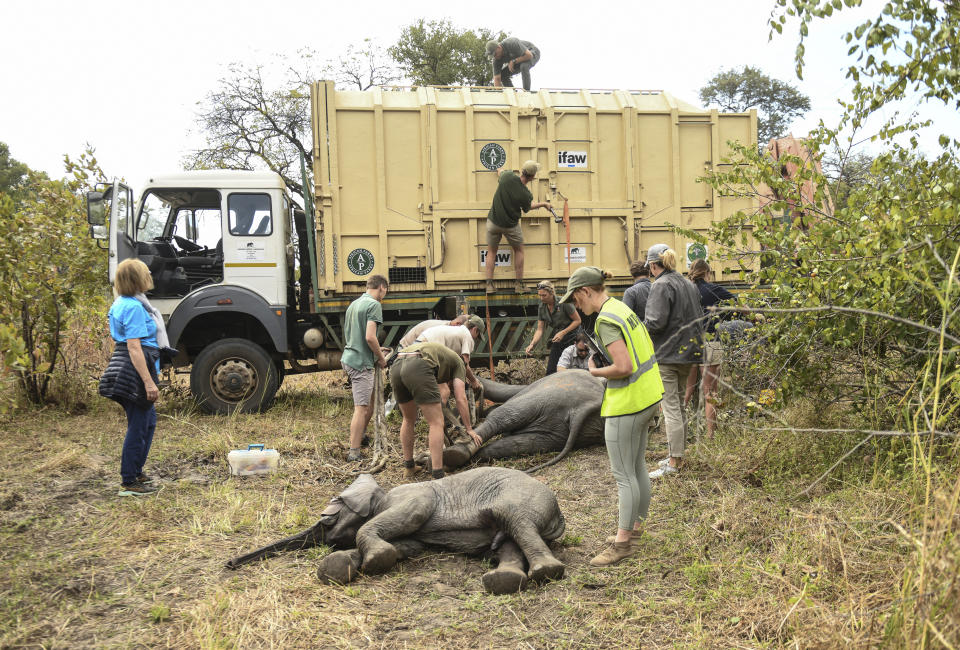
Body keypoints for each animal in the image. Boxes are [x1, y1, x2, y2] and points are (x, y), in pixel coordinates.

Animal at [228, 466, 568, 592]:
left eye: (326, 521)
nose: (229, 565)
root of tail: (559, 517)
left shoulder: (412, 497)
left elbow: (412, 514)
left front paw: (374, 561)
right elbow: (409, 545)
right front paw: (340, 567)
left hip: (521, 497)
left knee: (512, 519)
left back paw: (545, 573)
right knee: (507, 538)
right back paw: (504, 580)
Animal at [440, 370, 604, 470]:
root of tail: (580, 409)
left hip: (550, 396)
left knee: (503, 415)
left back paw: (452, 454)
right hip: (565, 433)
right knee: (522, 443)